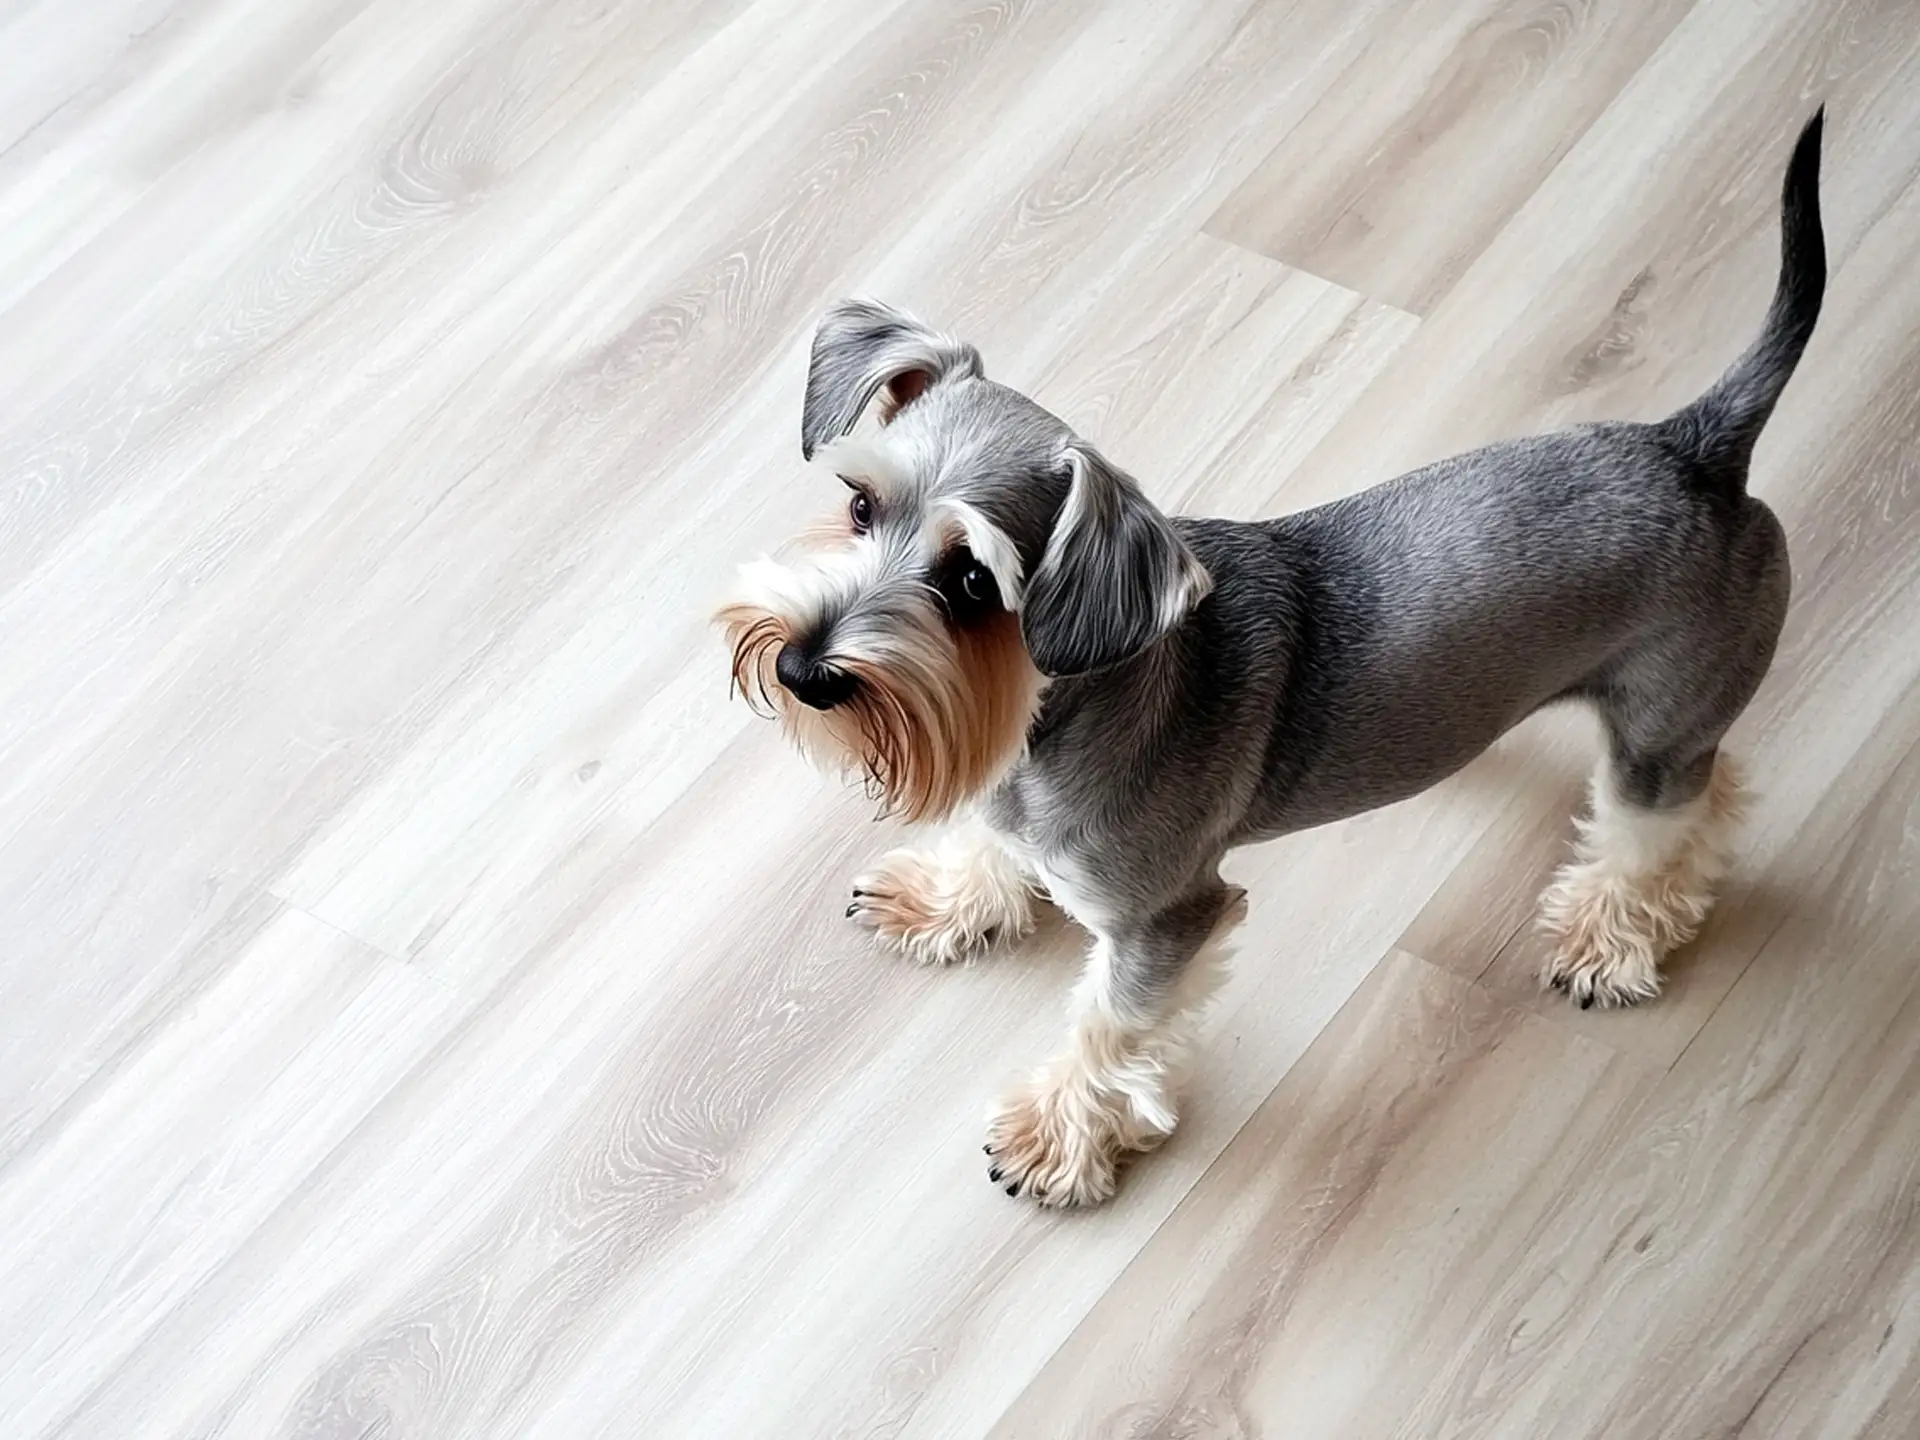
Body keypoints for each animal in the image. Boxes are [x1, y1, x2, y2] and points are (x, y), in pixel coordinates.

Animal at [721, 112, 1827, 1205]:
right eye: (860, 504)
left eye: (972, 587)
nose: (804, 671)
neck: (1049, 712)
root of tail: (1695, 448)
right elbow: (995, 846)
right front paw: (952, 898)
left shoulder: (1165, 917)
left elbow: (1112, 1028)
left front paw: (1059, 1136)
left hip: (1659, 724)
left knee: (1667, 822)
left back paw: (1611, 933)